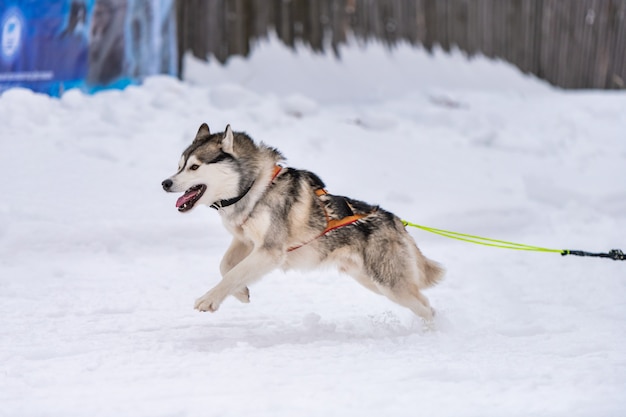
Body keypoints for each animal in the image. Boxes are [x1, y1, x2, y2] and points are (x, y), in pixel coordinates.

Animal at [162, 123, 444, 322]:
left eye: (195, 167)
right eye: (179, 166)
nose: (165, 183)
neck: (254, 188)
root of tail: (396, 221)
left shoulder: (270, 251)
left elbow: (235, 272)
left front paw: (209, 299)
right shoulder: (245, 240)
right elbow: (226, 266)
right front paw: (241, 293)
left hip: (390, 283)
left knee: (427, 307)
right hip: (373, 282)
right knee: (424, 304)